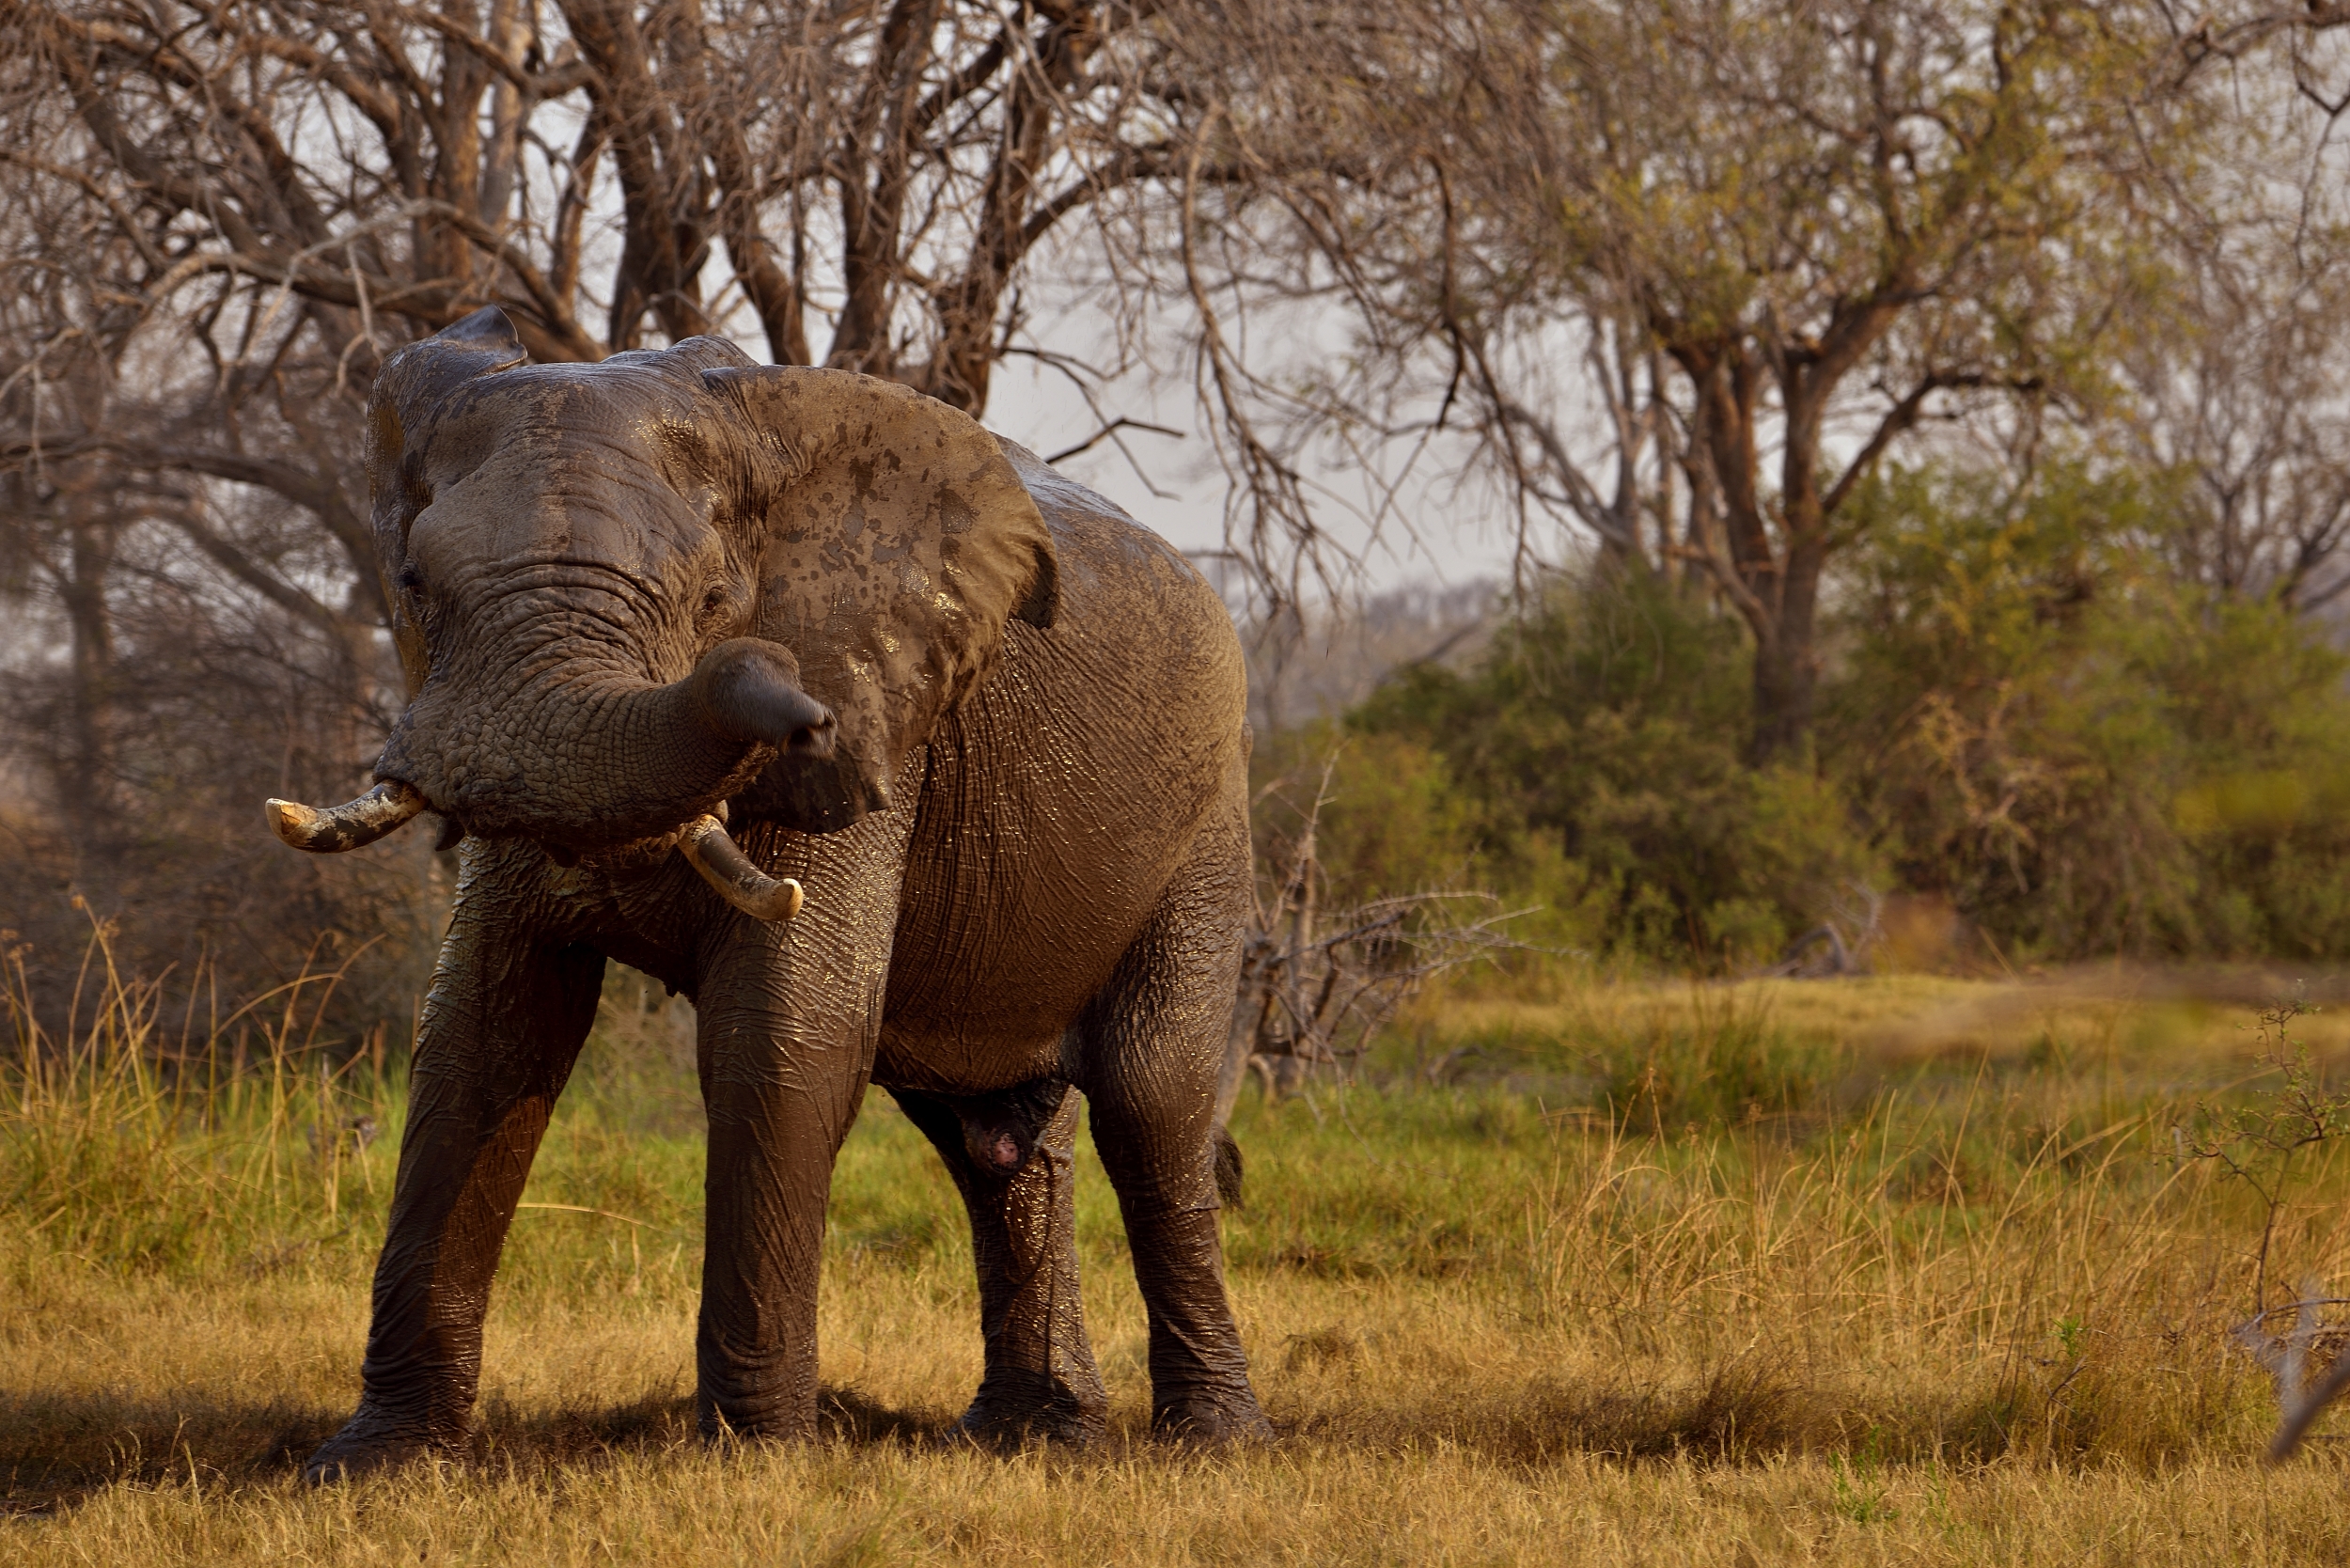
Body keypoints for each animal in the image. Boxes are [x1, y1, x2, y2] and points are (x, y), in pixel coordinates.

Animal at [269, 307, 1271, 1478]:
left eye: (714, 600)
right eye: (415, 583)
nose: (792, 700)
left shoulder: (883, 726)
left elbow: (782, 1039)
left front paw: (756, 1465)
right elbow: (482, 1035)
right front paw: (371, 1464)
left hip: (1207, 829)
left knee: (1151, 1110)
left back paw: (1214, 1447)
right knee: (994, 1147)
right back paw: (1029, 1439)